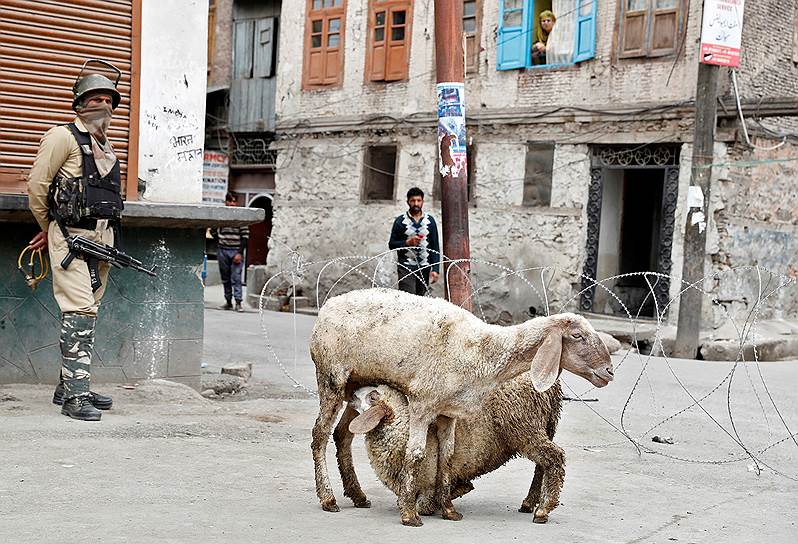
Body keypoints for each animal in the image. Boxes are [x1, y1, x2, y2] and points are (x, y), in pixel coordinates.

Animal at [310, 286, 616, 524]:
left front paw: (448, 510)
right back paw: (328, 498)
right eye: (577, 336)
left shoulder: (449, 412)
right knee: (320, 435)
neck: (483, 351)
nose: (609, 372)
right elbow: (416, 454)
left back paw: (358, 495)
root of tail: (328, 306)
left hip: (354, 384)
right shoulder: (421, 404)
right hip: (331, 379)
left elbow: (446, 456)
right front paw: (410, 514)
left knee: (343, 434)